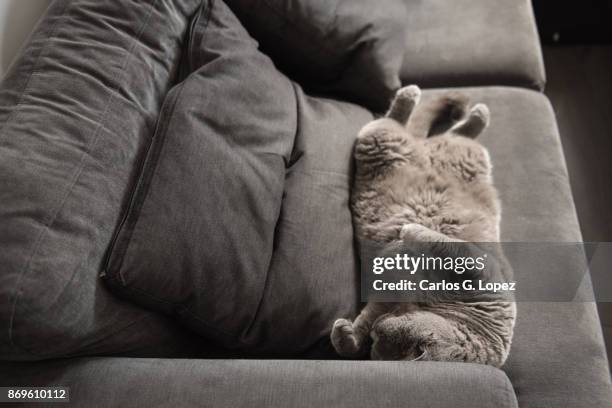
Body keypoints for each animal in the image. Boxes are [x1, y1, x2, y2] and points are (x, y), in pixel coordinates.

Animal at [330, 85, 516, 366]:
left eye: (379, 344)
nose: (377, 332)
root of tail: (425, 147)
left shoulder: (385, 296)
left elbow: (365, 320)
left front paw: (348, 337)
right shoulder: (475, 267)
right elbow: (437, 241)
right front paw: (409, 230)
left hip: (381, 144)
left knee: (436, 129)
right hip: (389, 142)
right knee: (421, 125)